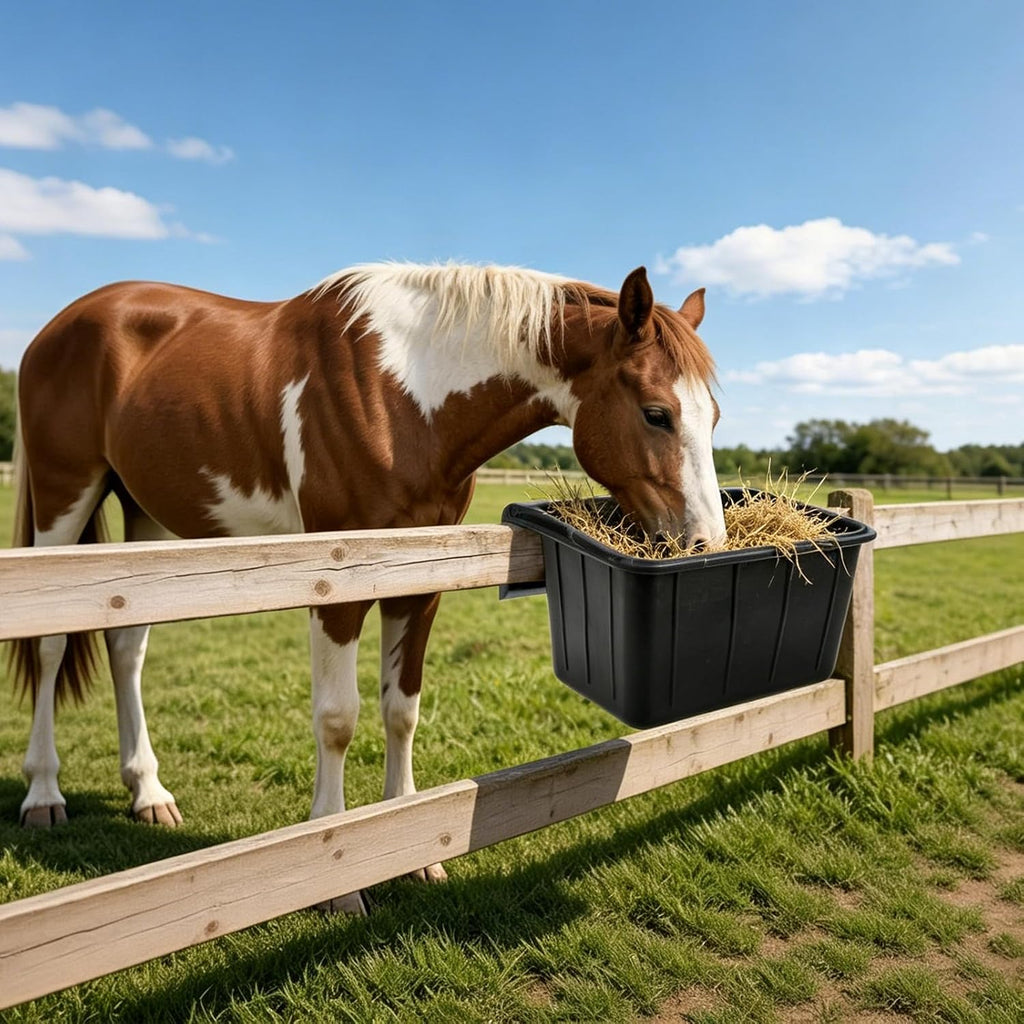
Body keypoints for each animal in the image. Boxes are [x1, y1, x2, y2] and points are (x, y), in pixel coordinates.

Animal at [9, 261, 725, 913]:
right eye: (657, 414)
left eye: (714, 416)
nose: (704, 544)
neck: (405, 392)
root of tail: (60, 326)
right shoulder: (338, 584)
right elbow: (338, 719)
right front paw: (337, 874)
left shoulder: (421, 582)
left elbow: (401, 710)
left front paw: (413, 852)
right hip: (62, 498)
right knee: (49, 646)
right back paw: (44, 792)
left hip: (145, 515)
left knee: (126, 643)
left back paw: (148, 792)